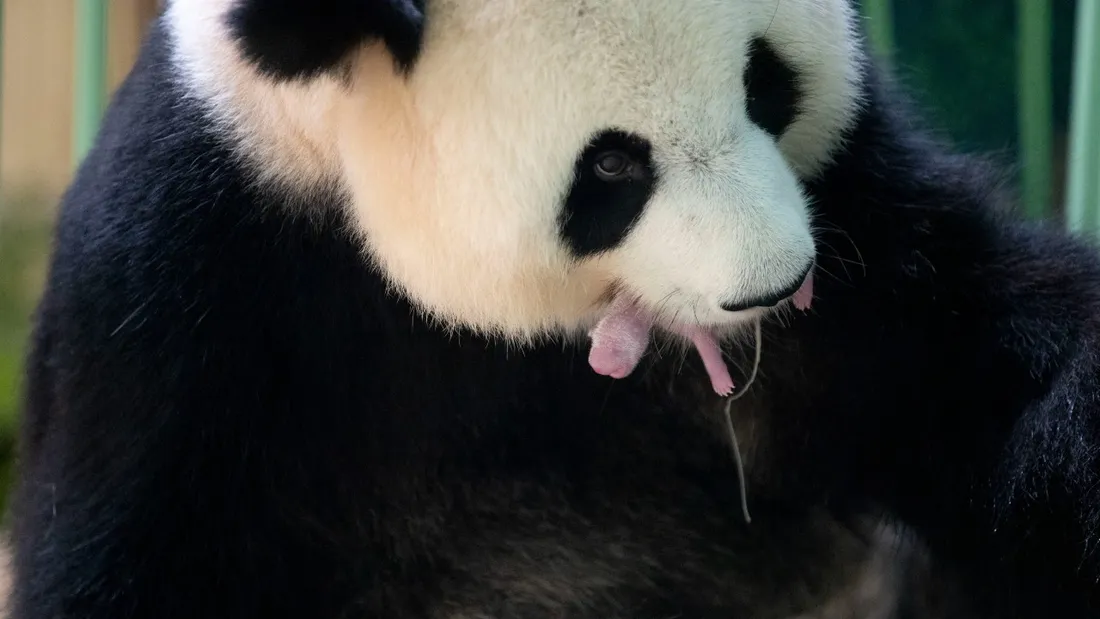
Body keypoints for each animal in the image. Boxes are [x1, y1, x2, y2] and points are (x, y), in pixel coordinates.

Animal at [9, 0, 1100, 616]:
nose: (773, 283)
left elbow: (963, 373)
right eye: (611, 164)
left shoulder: (859, 227)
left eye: (766, 83)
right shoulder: (188, 297)